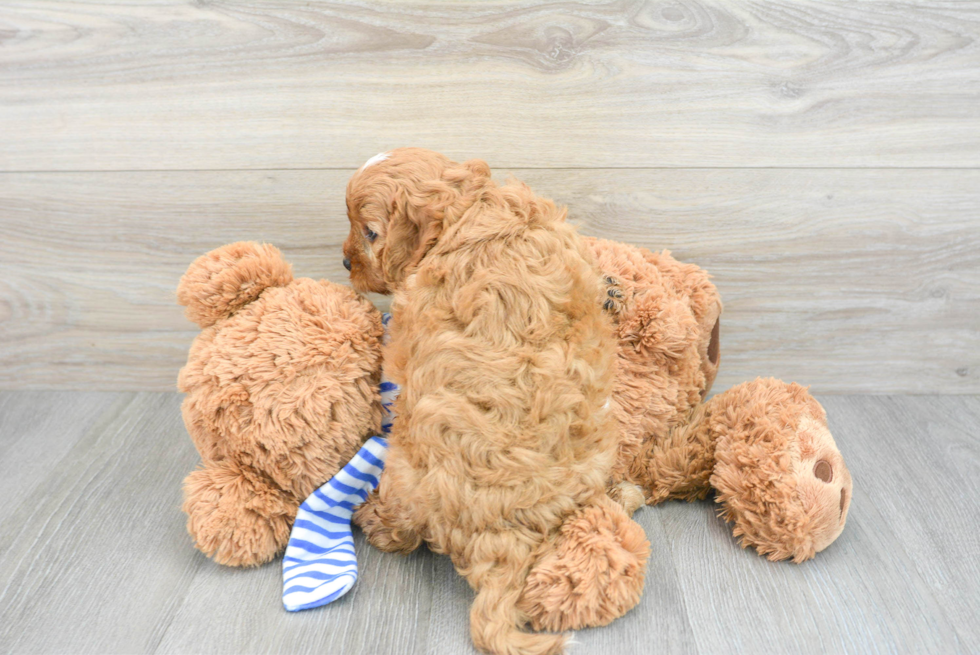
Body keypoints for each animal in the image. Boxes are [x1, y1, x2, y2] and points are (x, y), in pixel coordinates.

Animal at [340, 150, 648, 655]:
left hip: (403, 467)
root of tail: (503, 539)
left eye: (369, 234)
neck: (470, 206)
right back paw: (624, 494)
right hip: (600, 444)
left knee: (405, 533)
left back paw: (374, 519)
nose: (344, 261)